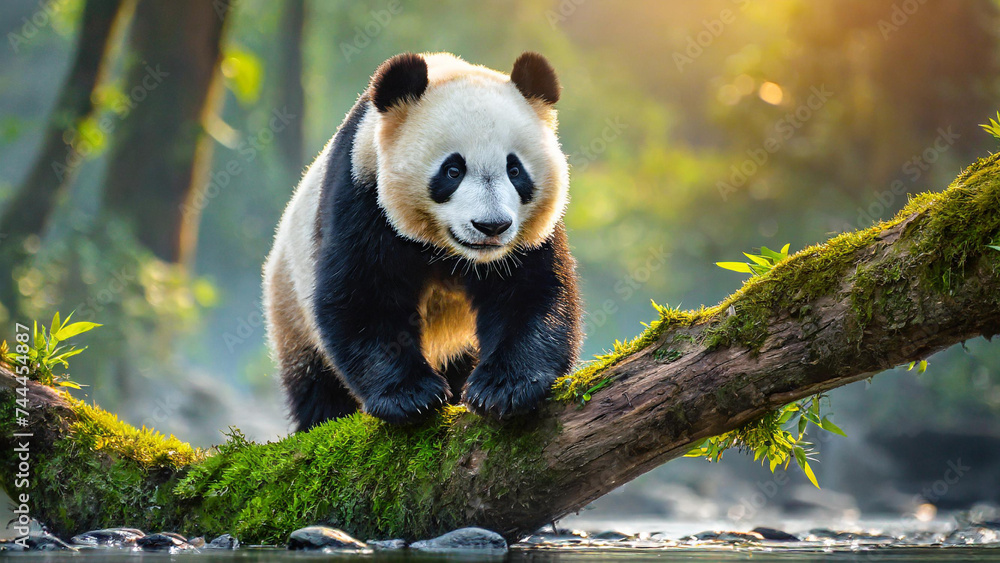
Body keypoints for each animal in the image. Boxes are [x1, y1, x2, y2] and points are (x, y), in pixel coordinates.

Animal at [263, 52, 582, 431]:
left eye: (515, 170)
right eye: (453, 170)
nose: (491, 226)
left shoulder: (528, 237)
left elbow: (533, 292)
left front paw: (504, 388)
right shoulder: (362, 195)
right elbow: (362, 295)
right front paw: (411, 396)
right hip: (290, 304)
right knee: (314, 382)